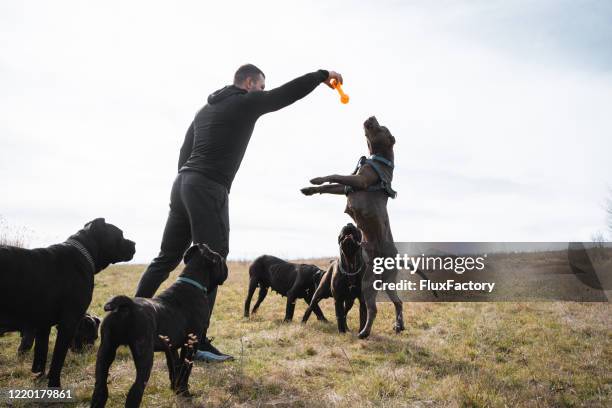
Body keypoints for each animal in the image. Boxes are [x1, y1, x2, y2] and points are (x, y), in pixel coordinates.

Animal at [0, 218, 135, 388]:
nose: (134, 243)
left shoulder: (43, 325)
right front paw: (55, 385)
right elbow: (58, 359)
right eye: (120, 234)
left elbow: (41, 355)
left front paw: (39, 378)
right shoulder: (68, 323)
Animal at [93, 244, 230, 406]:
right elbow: (185, 370)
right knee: (135, 391)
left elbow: (174, 369)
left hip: (105, 351)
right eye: (220, 260)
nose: (226, 268)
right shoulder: (191, 344)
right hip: (144, 354)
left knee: (100, 388)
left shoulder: (170, 348)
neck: (192, 281)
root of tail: (127, 305)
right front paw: (185, 393)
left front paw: (176, 390)